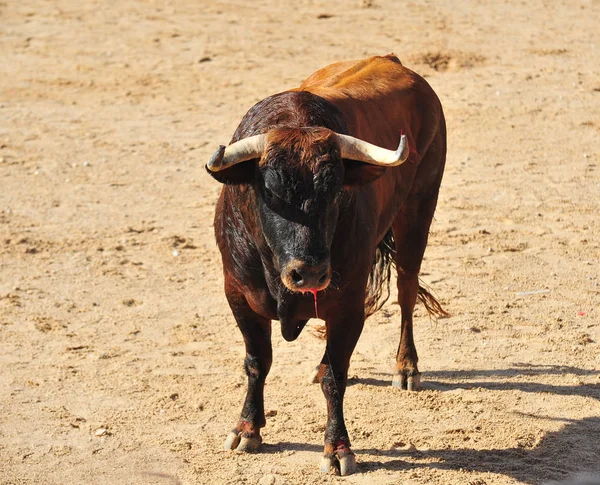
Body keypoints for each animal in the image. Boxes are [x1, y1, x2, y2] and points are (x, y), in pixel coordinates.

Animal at [205, 54, 446, 474]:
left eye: (335, 191)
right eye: (268, 191)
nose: (310, 273)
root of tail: (393, 60)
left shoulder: (348, 303)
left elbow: (337, 377)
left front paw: (338, 448)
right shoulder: (236, 294)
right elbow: (257, 362)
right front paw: (247, 429)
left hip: (418, 209)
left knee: (407, 289)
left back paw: (406, 369)